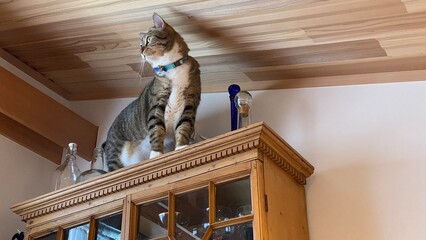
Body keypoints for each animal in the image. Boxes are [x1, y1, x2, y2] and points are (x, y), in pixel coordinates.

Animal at [104, 12, 202, 171]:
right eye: (140, 44)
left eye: (148, 40)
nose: (140, 51)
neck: (172, 67)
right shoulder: (156, 104)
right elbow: (156, 129)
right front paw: (156, 154)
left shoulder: (190, 102)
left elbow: (184, 126)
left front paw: (181, 148)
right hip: (114, 154)